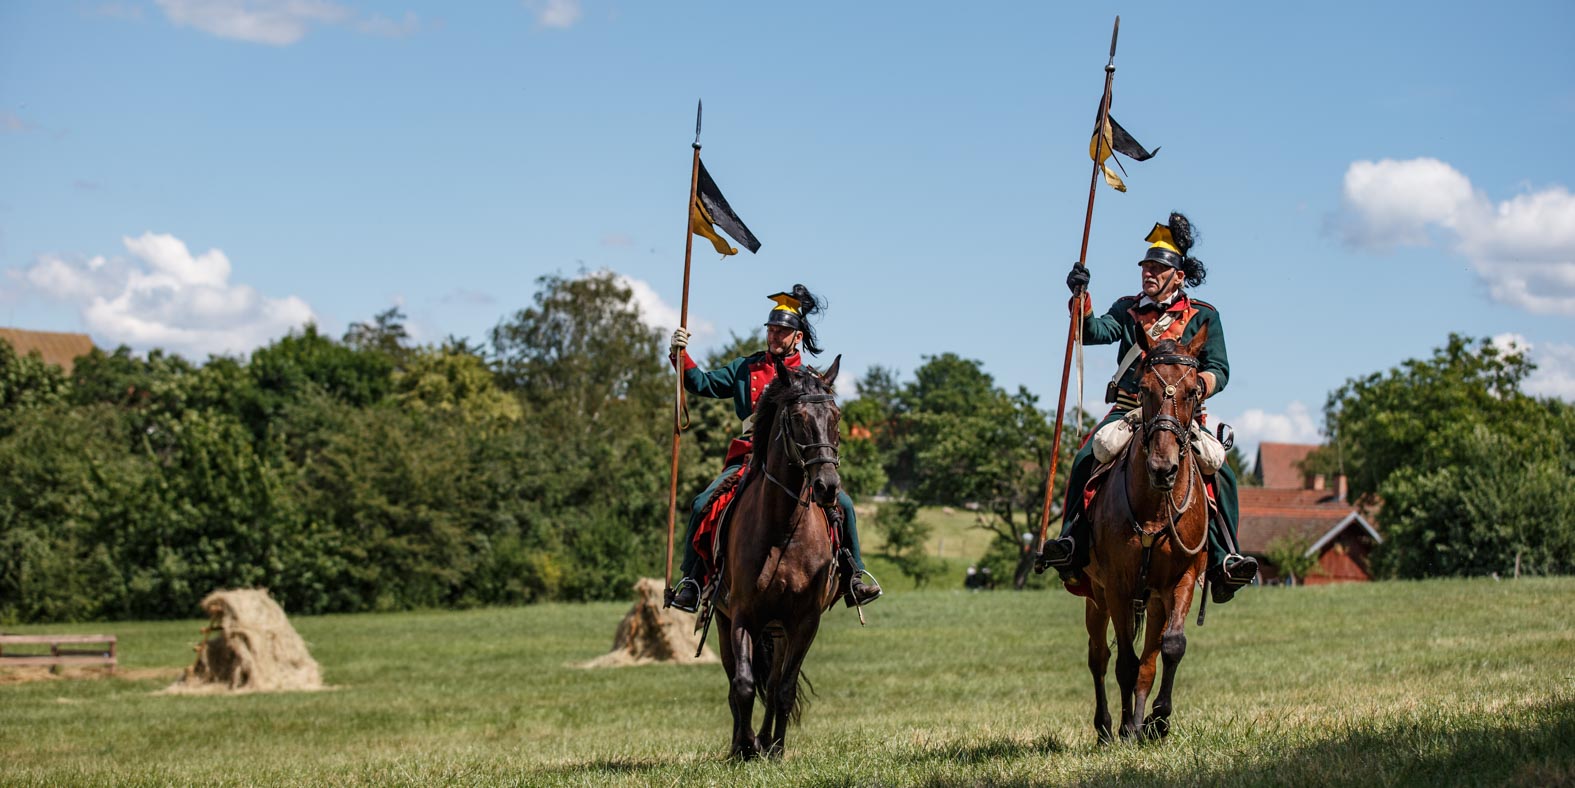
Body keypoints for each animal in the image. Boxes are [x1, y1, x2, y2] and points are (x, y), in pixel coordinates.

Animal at [712, 354, 844, 759]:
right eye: (798, 417)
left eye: (836, 417)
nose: (827, 486)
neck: (784, 530)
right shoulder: (742, 615)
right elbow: (742, 685)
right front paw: (746, 745)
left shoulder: (804, 621)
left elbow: (782, 689)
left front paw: (776, 748)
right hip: (726, 621)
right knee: (735, 681)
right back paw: (741, 743)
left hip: (780, 630)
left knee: (771, 684)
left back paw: (768, 741)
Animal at [1082, 326, 1212, 743]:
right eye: (1143, 389)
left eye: (1193, 392)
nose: (1163, 468)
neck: (1155, 507)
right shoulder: (1117, 586)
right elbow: (1124, 661)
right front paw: (1127, 726)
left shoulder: (1183, 578)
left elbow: (1170, 648)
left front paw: (1158, 719)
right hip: (1096, 597)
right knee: (1099, 657)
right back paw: (1110, 728)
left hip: (1154, 601)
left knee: (1149, 662)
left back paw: (1139, 724)